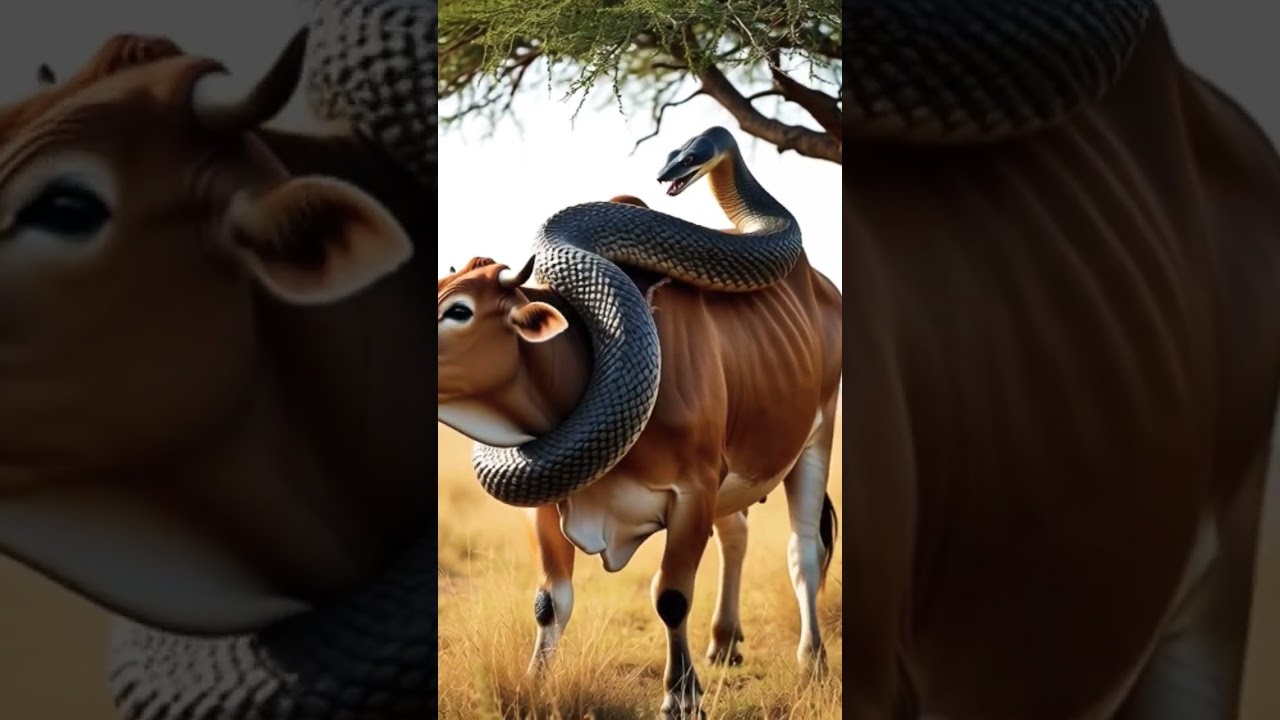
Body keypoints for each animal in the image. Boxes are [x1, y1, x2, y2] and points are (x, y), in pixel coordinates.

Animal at [436, 193, 843, 716]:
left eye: (459, 311)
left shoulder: (693, 491)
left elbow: (671, 595)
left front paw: (682, 696)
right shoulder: (544, 501)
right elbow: (550, 601)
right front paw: (534, 684)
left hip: (816, 439)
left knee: (805, 552)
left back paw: (812, 660)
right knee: (736, 534)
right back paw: (724, 641)